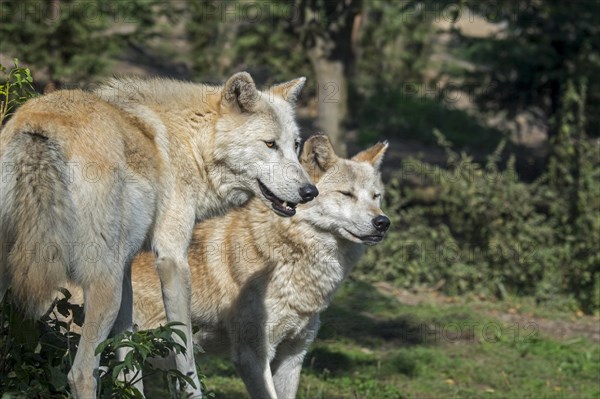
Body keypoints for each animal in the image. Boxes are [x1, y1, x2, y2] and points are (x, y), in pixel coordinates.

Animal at [0, 71, 318, 396]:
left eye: (295, 145)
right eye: (270, 144)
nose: (310, 192)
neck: (192, 143)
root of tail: (39, 128)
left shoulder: (127, 267)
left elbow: (127, 353)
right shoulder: (172, 259)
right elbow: (184, 352)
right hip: (104, 286)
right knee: (81, 373)